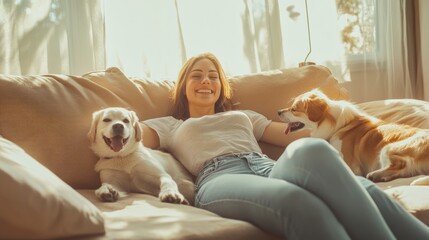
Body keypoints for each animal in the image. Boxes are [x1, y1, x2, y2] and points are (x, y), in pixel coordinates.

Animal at [276, 89, 428, 183]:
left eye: (293, 109)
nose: (278, 111)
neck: (336, 126)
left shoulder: (350, 164)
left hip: (388, 148)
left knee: (401, 165)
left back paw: (375, 174)